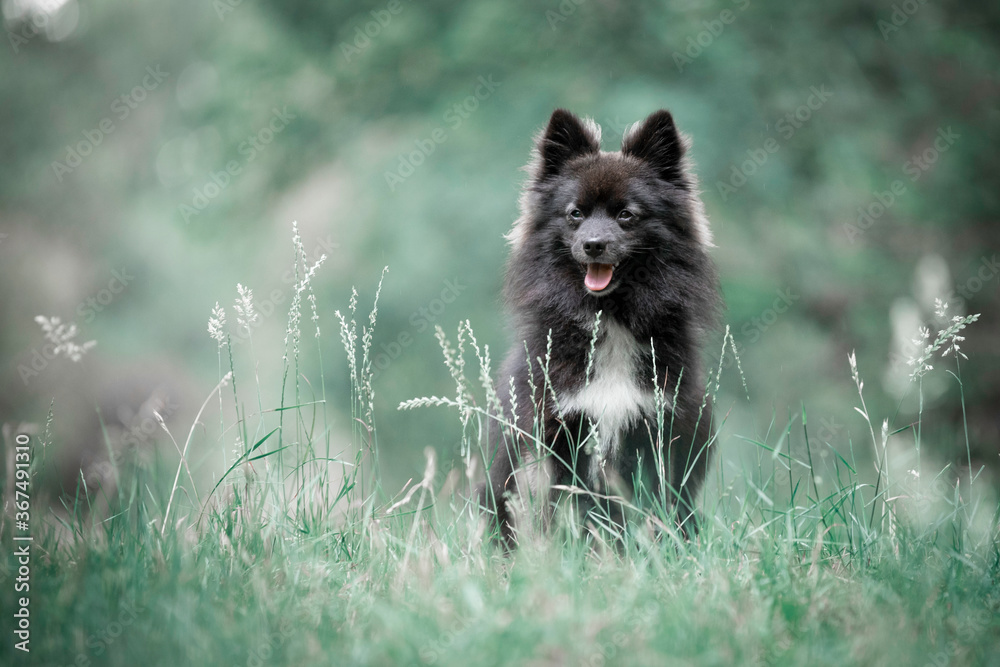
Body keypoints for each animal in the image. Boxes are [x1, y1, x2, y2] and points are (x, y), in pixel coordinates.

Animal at [480, 109, 724, 548]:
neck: (609, 317)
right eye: (575, 213)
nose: (593, 245)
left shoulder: (659, 429)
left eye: (626, 214)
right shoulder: (551, 431)